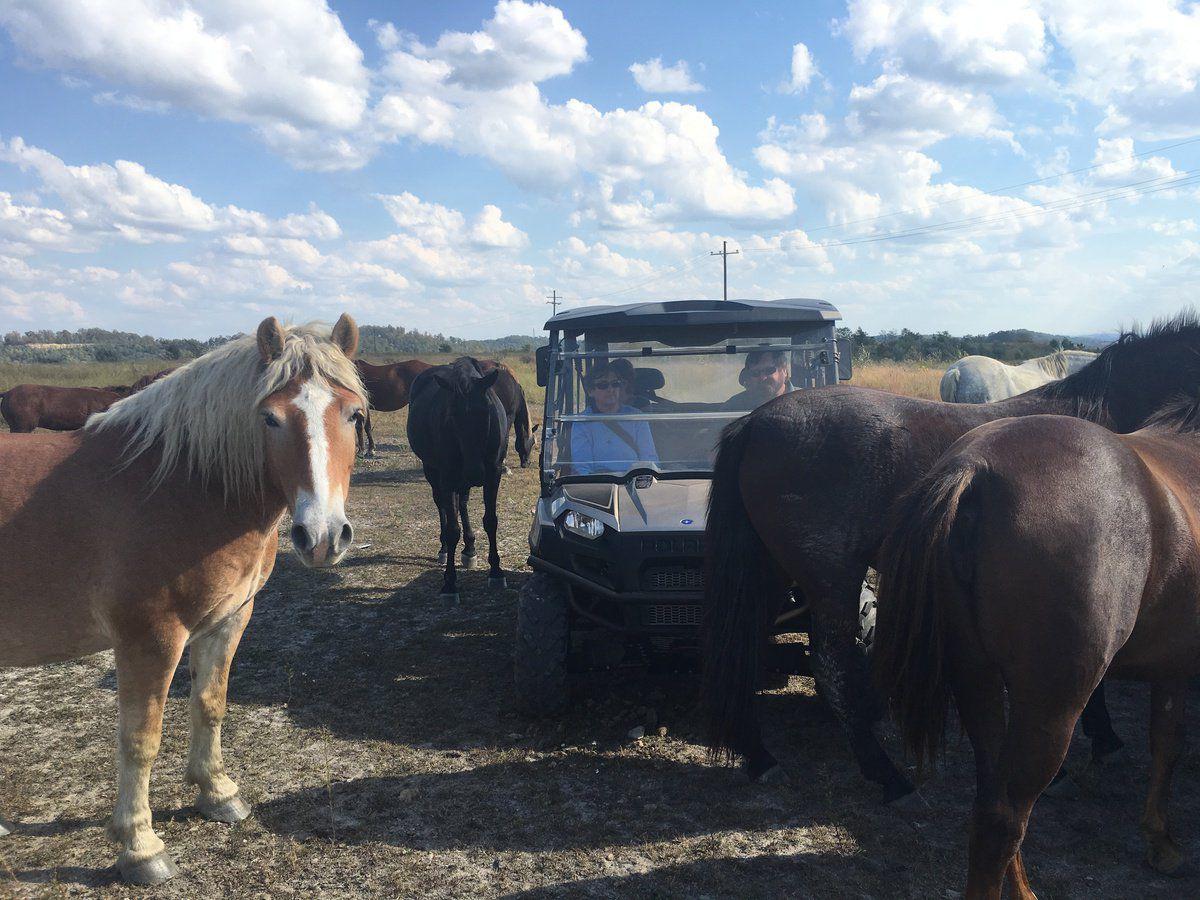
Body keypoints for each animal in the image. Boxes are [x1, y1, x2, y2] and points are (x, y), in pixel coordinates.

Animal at [0, 315, 364, 885]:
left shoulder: (227, 620)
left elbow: (210, 704)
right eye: (270, 418)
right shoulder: (150, 639)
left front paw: (217, 794)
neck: (179, 486)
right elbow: (140, 739)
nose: (323, 537)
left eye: (353, 413)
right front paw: (139, 846)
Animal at [407, 357, 509, 600]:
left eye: (486, 412)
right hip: (434, 472)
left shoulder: (493, 473)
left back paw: (469, 548)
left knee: (460, 503)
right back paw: (444, 549)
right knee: (442, 506)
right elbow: (453, 529)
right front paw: (450, 582)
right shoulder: (447, 475)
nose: (475, 473)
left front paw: (496, 570)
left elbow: (491, 521)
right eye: (452, 416)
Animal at [873, 397, 1200, 897]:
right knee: (1003, 818)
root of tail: (973, 469)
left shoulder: (1172, 664)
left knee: (992, 796)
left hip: (977, 682)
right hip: (1051, 706)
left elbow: (1167, 739)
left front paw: (1160, 841)